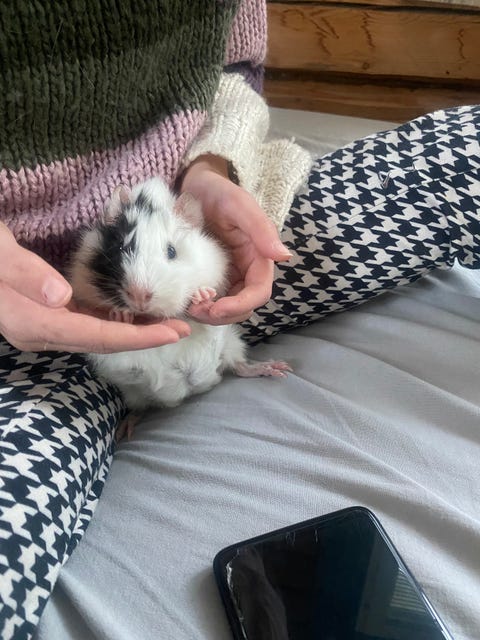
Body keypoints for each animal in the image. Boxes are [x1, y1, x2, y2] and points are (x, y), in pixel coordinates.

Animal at [69, 177, 290, 434]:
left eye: (172, 251)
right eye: (121, 249)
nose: (139, 296)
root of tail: (191, 390)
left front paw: (202, 296)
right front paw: (121, 314)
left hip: (231, 344)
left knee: (241, 367)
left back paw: (279, 369)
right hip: (133, 392)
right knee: (139, 408)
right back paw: (125, 430)